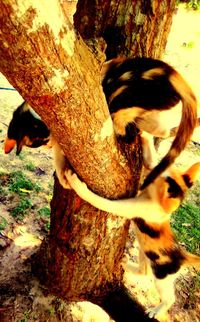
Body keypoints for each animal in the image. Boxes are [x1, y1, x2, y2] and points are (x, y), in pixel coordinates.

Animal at [65, 164, 200, 320]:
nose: (154, 169)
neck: (153, 200)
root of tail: (184, 255)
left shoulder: (127, 207)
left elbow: (98, 200)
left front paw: (76, 183)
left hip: (162, 277)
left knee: (170, 298)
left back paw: (155, 311)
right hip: (145, 252)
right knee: (143, 271)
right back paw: (125, 262)